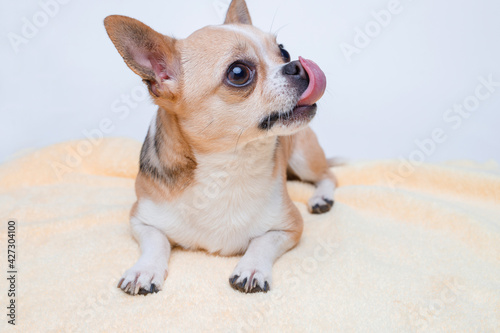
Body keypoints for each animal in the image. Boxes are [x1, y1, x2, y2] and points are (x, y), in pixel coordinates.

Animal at [106, 0, 336, 294]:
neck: (229, 164)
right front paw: (143, 270)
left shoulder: (290, 227)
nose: (296, 64)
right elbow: (156, 241)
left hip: (303, 158)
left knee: (328, 175)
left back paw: (321, 198)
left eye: (283, 51)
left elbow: (262, 242)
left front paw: (251, 268)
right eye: (238, 73)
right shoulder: (140, 219)